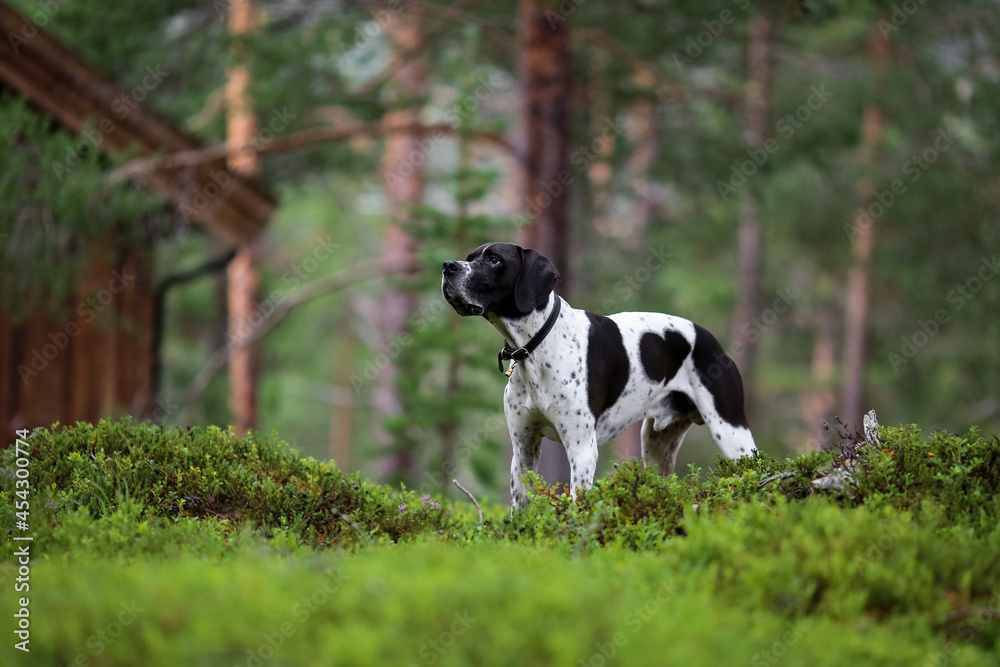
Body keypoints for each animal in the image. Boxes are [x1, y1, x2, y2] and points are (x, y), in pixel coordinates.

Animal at [442, 243, 752, 508]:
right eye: (469, 257)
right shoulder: (523, 449)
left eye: (494, 260)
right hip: (656, 446)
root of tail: (712, 340)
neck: (537, 346)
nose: (447, 266)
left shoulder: (581, 450)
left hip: (732, 434)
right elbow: (520, 508)